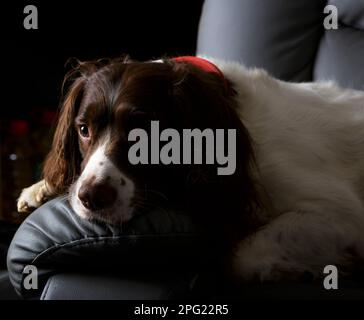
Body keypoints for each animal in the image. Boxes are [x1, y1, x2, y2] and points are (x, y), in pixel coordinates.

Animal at [16, 56, 364, 282]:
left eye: (144, 134)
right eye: (83, 129)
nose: (91, 198)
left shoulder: (342, 214)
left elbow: (242, 256)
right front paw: (41, 187)